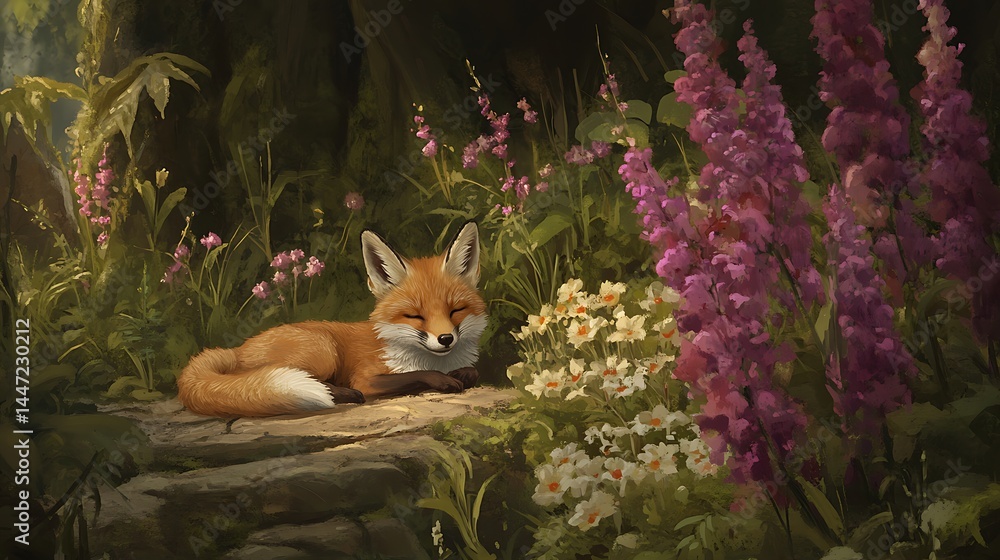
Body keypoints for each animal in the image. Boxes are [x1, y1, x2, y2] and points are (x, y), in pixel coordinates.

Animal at [176, 221, 488, 417]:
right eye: (415, 315)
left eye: (455, 310)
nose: (446, 338)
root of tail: (236, 349)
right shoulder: (367, 377)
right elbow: (414, 375)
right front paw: (443, 379)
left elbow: (472, 371)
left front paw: (462, 374)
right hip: (323, 351)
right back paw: (343, 394)